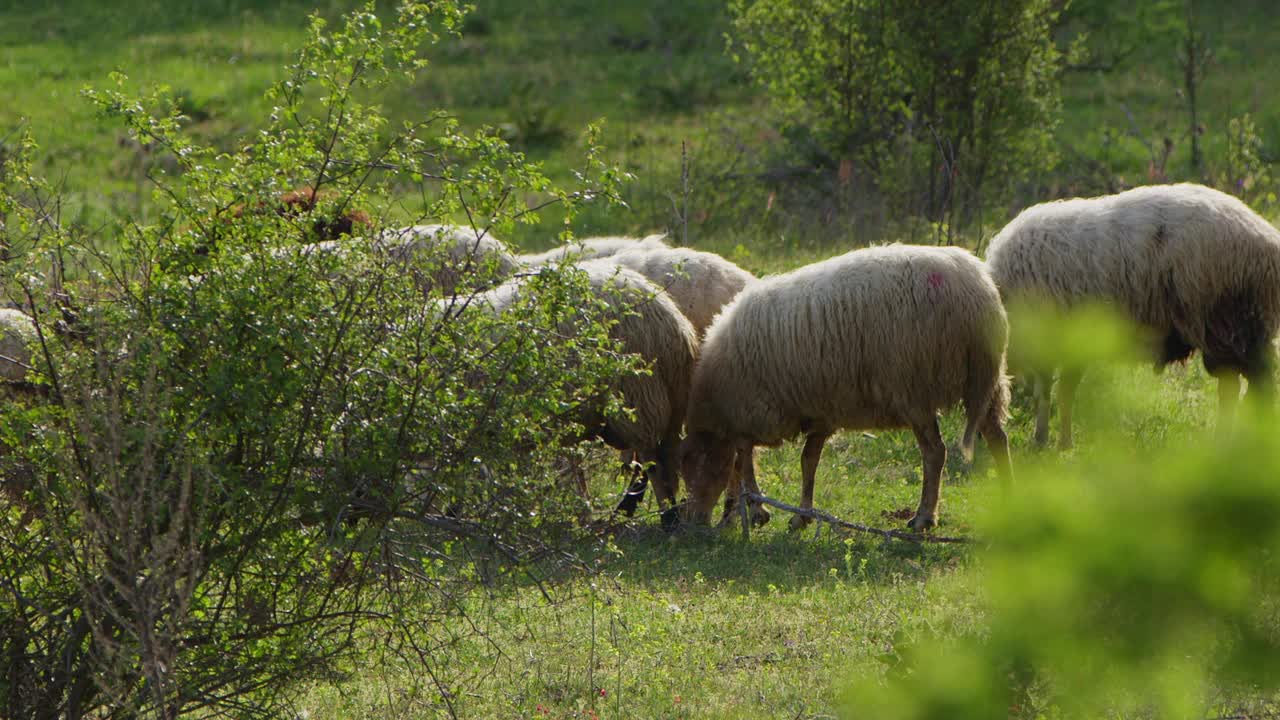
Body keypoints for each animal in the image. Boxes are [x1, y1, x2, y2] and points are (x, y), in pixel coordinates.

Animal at [977, 181, 1280, 445]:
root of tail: (1267, 239)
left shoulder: (1052, 341)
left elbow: (1050, 394)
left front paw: (1045, 442)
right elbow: (1060, 393)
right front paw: (1058, 443)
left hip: (1231, 323)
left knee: (1253, 386)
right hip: (1231, 330)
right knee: (1238, 387)